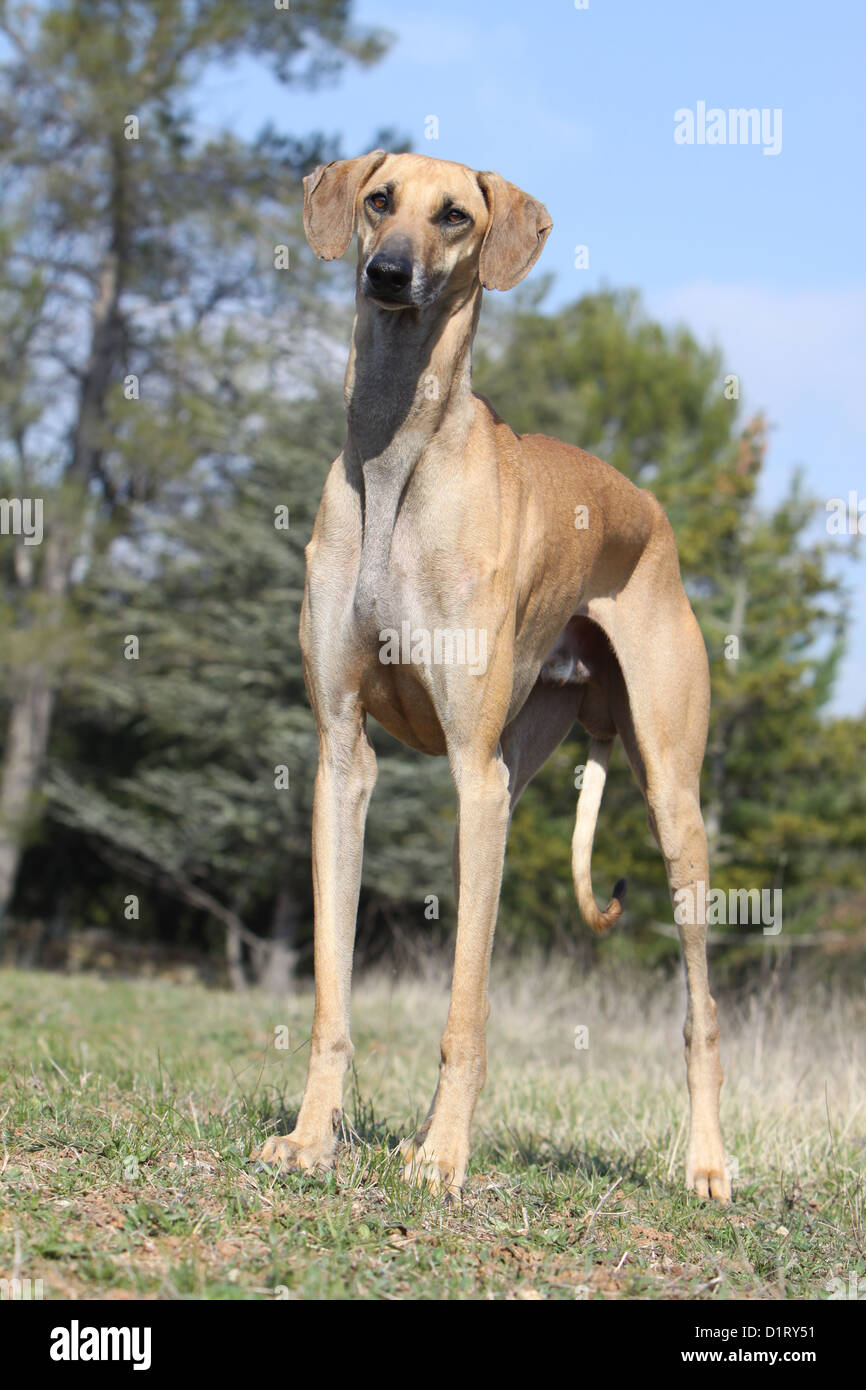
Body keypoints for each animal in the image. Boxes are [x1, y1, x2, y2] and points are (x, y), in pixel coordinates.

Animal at [258, 146, 733, 1200]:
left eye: (456, 217)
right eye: (379, 200)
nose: (387, 273)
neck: (396, 457)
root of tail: (649, 509)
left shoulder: (473, 776)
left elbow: (464, 1014)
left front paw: (443, 1158)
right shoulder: (343, 758)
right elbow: (332, 993)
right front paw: (312, 1139)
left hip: (669, 806)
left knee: (701, 1011)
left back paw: (708, 1165)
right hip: (516, 777)